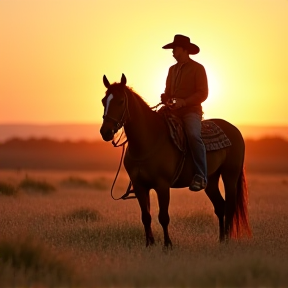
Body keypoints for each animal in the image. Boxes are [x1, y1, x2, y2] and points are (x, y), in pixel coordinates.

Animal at [100, 73, 251, 248]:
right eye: (103, 101)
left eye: (121, 101)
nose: (105, 132)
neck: (148, 140)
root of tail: (235, 130)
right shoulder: (139, 186)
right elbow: (146, 217)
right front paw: (149, 245)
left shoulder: (162, 185)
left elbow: (163, 217)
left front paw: (167, 245)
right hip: (211, 180)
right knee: (220, 206)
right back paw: (221, 240)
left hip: (230, 176)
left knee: (230, 206)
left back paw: (226, 241)